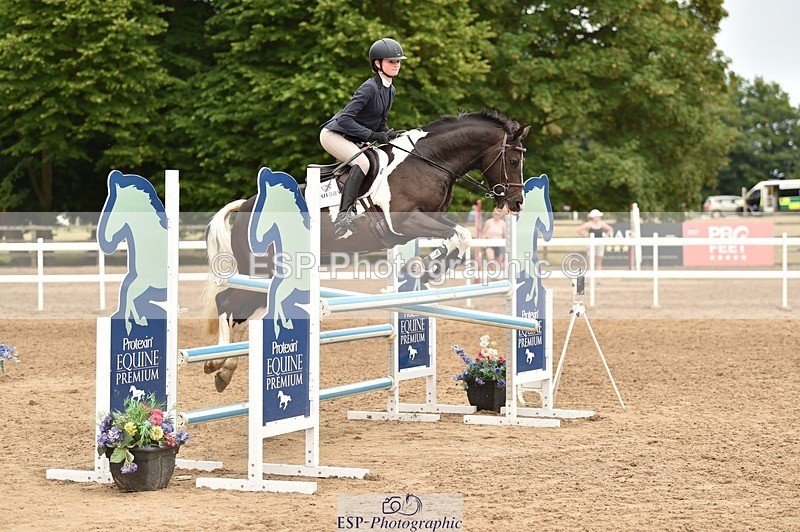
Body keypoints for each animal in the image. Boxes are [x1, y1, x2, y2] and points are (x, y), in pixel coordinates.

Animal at [97, 170, 168, 334]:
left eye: (116, 209)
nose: (107, 237)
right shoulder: (141, 280)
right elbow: (128, 294)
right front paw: (136, 321)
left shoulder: (146, 281)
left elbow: (129, 294)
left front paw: (131, 324)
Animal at [202, 110, 531, 391]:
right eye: (514, 160)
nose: (516, 204)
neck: (428, 162)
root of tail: (245, 204)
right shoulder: (406, 222)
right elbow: (459, 235)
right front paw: (428, 270)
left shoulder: (426, 222)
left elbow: (458, 238)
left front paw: (428, 270)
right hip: (259, 270)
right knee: (225, 302)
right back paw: (214, 363)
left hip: (267, 275)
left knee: (241, 312)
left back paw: (225, 370)